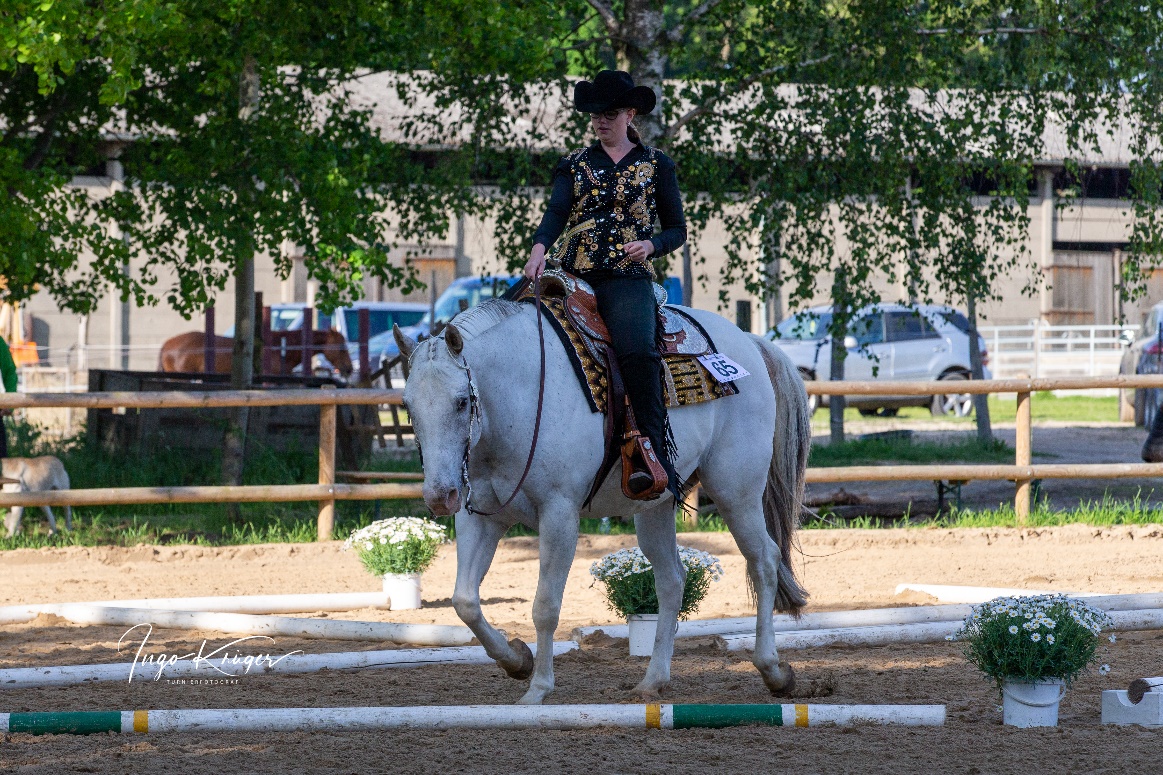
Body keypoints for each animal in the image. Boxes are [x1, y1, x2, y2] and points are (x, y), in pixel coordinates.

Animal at [392, 297, 811, 705]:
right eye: (408, 406)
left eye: (462, 401)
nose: (439, 496)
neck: (518, 397)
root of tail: (749, 341)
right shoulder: (479, 516)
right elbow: (464, 601)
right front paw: (517, 661)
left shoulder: (559, 515)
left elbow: (545, 606)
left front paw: (538, 687)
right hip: (656, 506)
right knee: (672, 580)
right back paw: (652, 681)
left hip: (735, 491)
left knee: (764, 560)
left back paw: (774, 671)